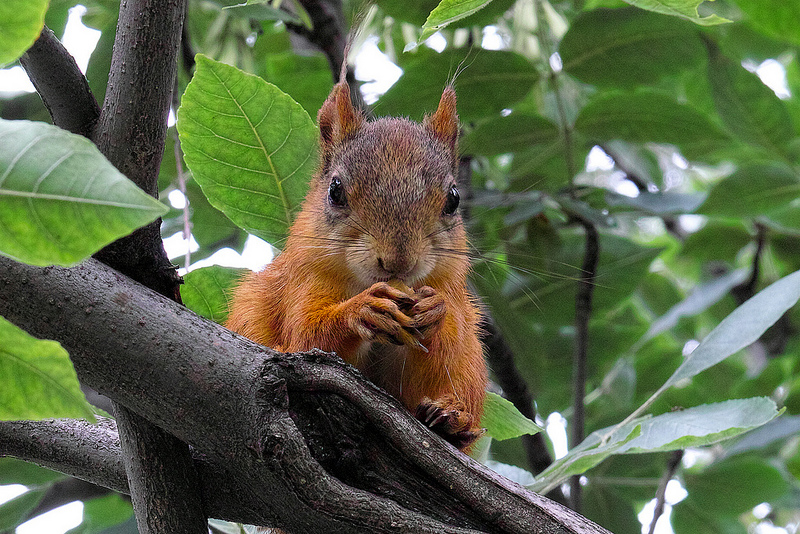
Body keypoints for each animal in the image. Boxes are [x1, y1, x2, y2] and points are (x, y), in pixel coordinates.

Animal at [225, 75, 488, 452]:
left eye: (453, 199)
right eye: (335, 191)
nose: (398, 261)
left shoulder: (452, 299)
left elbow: (430, 373)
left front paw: (434, 311)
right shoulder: (302, 283)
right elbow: (307, 335)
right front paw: (362, 311)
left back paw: (455, 419)